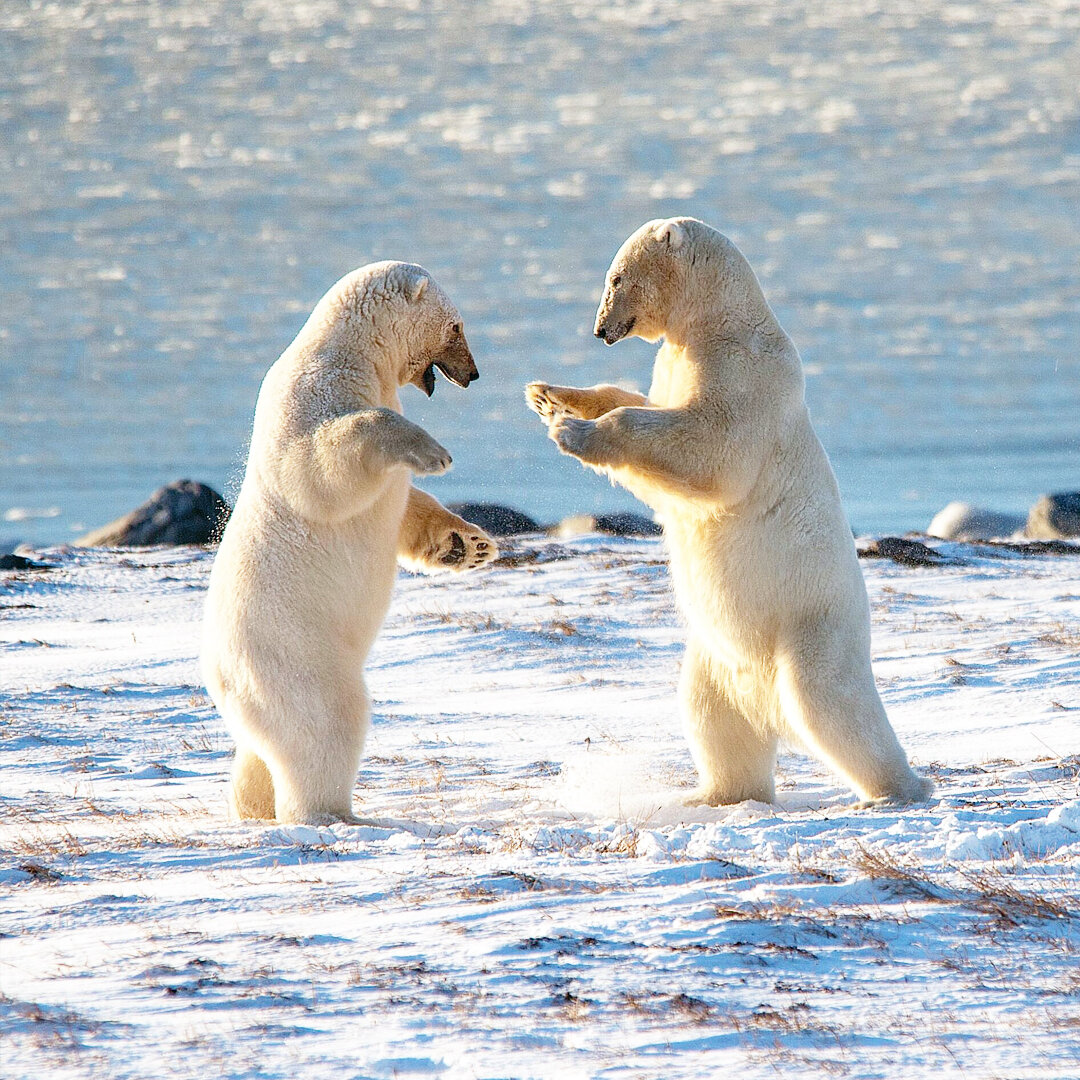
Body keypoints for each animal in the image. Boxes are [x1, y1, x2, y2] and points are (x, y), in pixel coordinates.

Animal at [204, 263, 498, 825]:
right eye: (456, 326)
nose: (473, 374)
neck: (352, 353)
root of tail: (219, 678)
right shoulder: (309, 396)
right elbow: (319, 467)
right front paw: (434, 451)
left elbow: (402, 506)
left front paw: (468, 545)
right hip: (294, 656)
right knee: (325, 724)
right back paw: (332, 814)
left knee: (260, 750)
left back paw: (252, 805)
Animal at [527, 219, 933, 807]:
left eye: (616, 277)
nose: (601, 329)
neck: (719, 320)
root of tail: (767, 703)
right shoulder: (678, 363)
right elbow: (651, 415)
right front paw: (550, 396)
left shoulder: (744, 370)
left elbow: (711, 448)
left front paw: (571, 430)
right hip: (717, 659)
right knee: (711, 715)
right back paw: (712, 795)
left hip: (811, 626)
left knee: (831, 705)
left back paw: (898, 788)